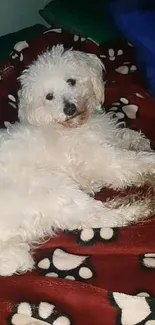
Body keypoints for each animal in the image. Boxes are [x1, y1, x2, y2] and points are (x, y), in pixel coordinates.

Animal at [0, 44, 155, 274]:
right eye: (49, 96)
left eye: (71, 81)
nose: (69, 108)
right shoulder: (107, 160)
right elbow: (136, 162)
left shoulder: (109, 139)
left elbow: (125, 135)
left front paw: (140, 141)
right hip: (53, 187)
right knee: (96, 218)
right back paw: (138, 208)